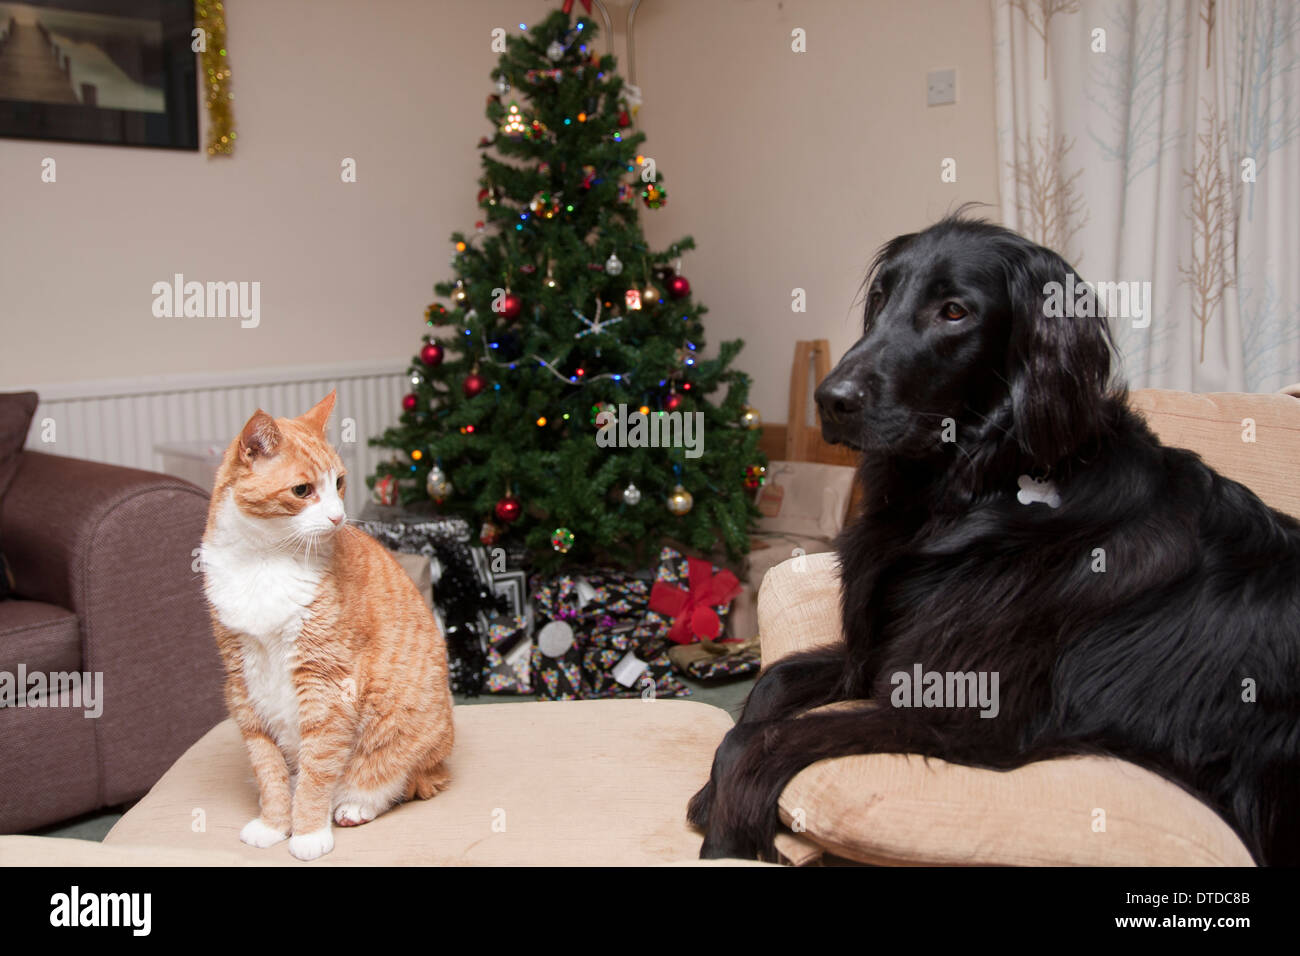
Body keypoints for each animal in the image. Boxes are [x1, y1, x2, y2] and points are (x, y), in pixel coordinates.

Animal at [198, 392, 452, 863]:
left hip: (407, 741)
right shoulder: (242, 684)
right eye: (303, 490)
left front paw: (308, 831)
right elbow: (267, 768)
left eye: (339, 483)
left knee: (399, 782)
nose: (338, 518)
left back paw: (354, 806)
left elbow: (318, 769)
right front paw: (275, 823)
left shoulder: (326, 683)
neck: (264, 560)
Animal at [686, 214, 1294, 868]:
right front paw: (707, 792)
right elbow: (770, 688)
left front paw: (729, 838)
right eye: (881, 298)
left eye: (954, 311)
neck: (975, 490)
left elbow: (764, 740)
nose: (831, 400)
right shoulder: (878, 656)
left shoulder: (963, 710)